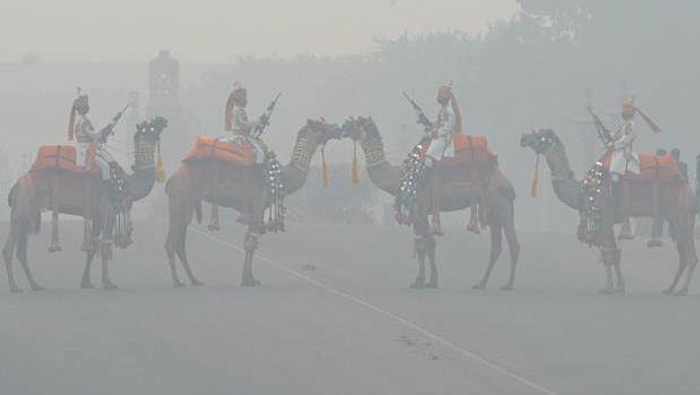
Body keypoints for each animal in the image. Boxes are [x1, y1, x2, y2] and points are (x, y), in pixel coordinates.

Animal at [3, 116, 168, 292]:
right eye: (149, 127)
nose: (162, 120)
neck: (126, 183)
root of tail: (16, 185)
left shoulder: (97, 216)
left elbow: (92, 247)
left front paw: (86, 282)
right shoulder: (108, 211)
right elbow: (104, 246)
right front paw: (108, 282)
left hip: (28, 210)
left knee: (21, 250)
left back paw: (35, 285)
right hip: (22, 206)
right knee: (9, 248)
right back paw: (14, 286)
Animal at [162, 118, 342, 288]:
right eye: (321, 125)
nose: (337, 128)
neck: (280, 177)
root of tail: (172, 178)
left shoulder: (257, 209)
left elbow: (251, 241)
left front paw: (251, 278)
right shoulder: (257, 204)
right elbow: (250, 243)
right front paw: (247, 280)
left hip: (184, 203)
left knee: (179, 243)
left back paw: (194, 280)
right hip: (180, 196)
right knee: (173, 242)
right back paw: (177, 281)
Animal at [340, 117, 520, 290]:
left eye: (354, 123)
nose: (341, 128)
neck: (399, 177)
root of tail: (507, 185)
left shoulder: (418, 209)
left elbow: (421, 244)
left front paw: (419, 281)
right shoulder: (423, 212)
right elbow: (430, 244)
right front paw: (431, 281)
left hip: (500, 204)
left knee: (512, 244)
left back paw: (508, 285)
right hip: (494, 211)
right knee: (497, 246)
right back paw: (482, 283)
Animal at [520, 128, 696, 296]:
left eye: (542, 136)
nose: (523, 138)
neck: (583, 190)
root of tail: (688, 188)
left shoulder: (604, 217)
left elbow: (609, 254)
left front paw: (611, 288)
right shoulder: (607, 222)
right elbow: (612, 255)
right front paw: (616, 287)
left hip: (679, 214)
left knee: (688, 254)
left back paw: (682, 290)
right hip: (678, 216)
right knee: (686, 253)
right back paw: (671, 289)